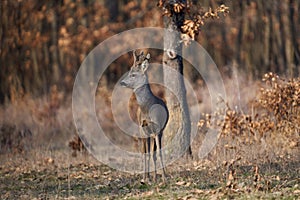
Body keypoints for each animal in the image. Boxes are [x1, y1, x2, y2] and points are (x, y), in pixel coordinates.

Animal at [120, 50, 169, 183]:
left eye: (133, 75)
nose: (121, 82)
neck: (147, 108)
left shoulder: (158, 129)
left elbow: (158, 153)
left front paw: (164, 176)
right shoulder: (143, 129)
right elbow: (146, 154)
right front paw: (146, 178)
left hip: (156, 132)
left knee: (154, 153)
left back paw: (156, 176)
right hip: (143, 131)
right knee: (144, 153)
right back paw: (147, 176)